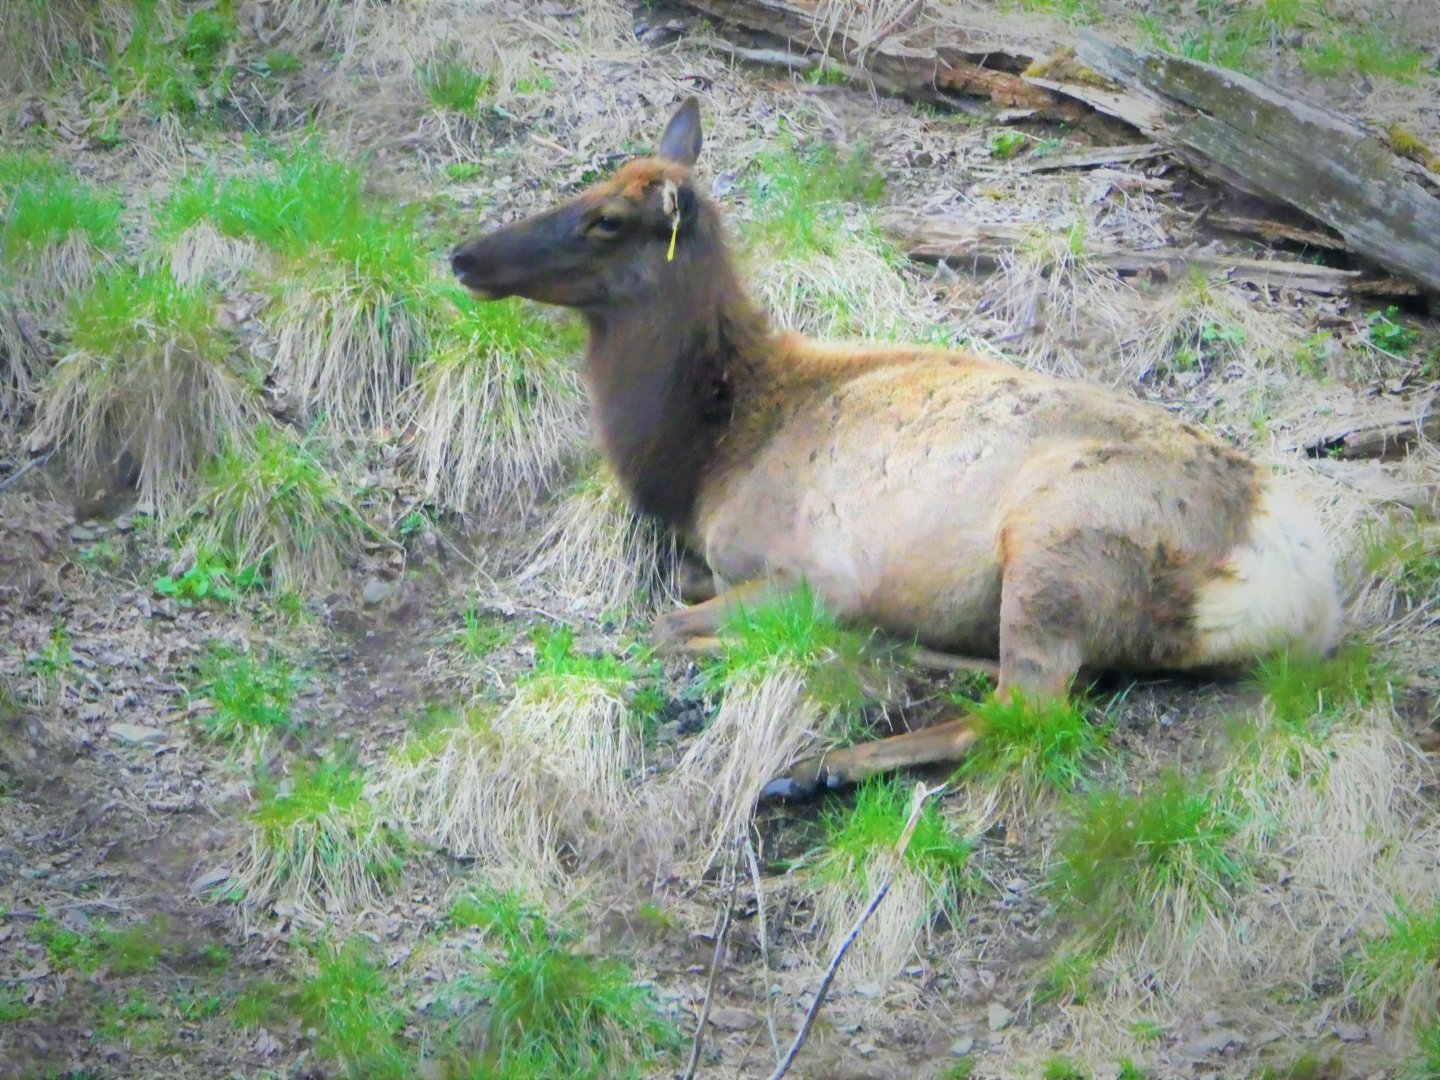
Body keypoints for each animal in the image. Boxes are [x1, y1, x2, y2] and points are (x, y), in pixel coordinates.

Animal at [449, 96, 1342, 801]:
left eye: (605, 220)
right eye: (586, 187)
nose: (465, 253)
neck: (706, 456)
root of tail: (1298, 578)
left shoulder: (810, 568)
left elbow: (667, 625)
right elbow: (681, 587)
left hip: (1059, 539)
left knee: (1029, 710)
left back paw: (817, 765)